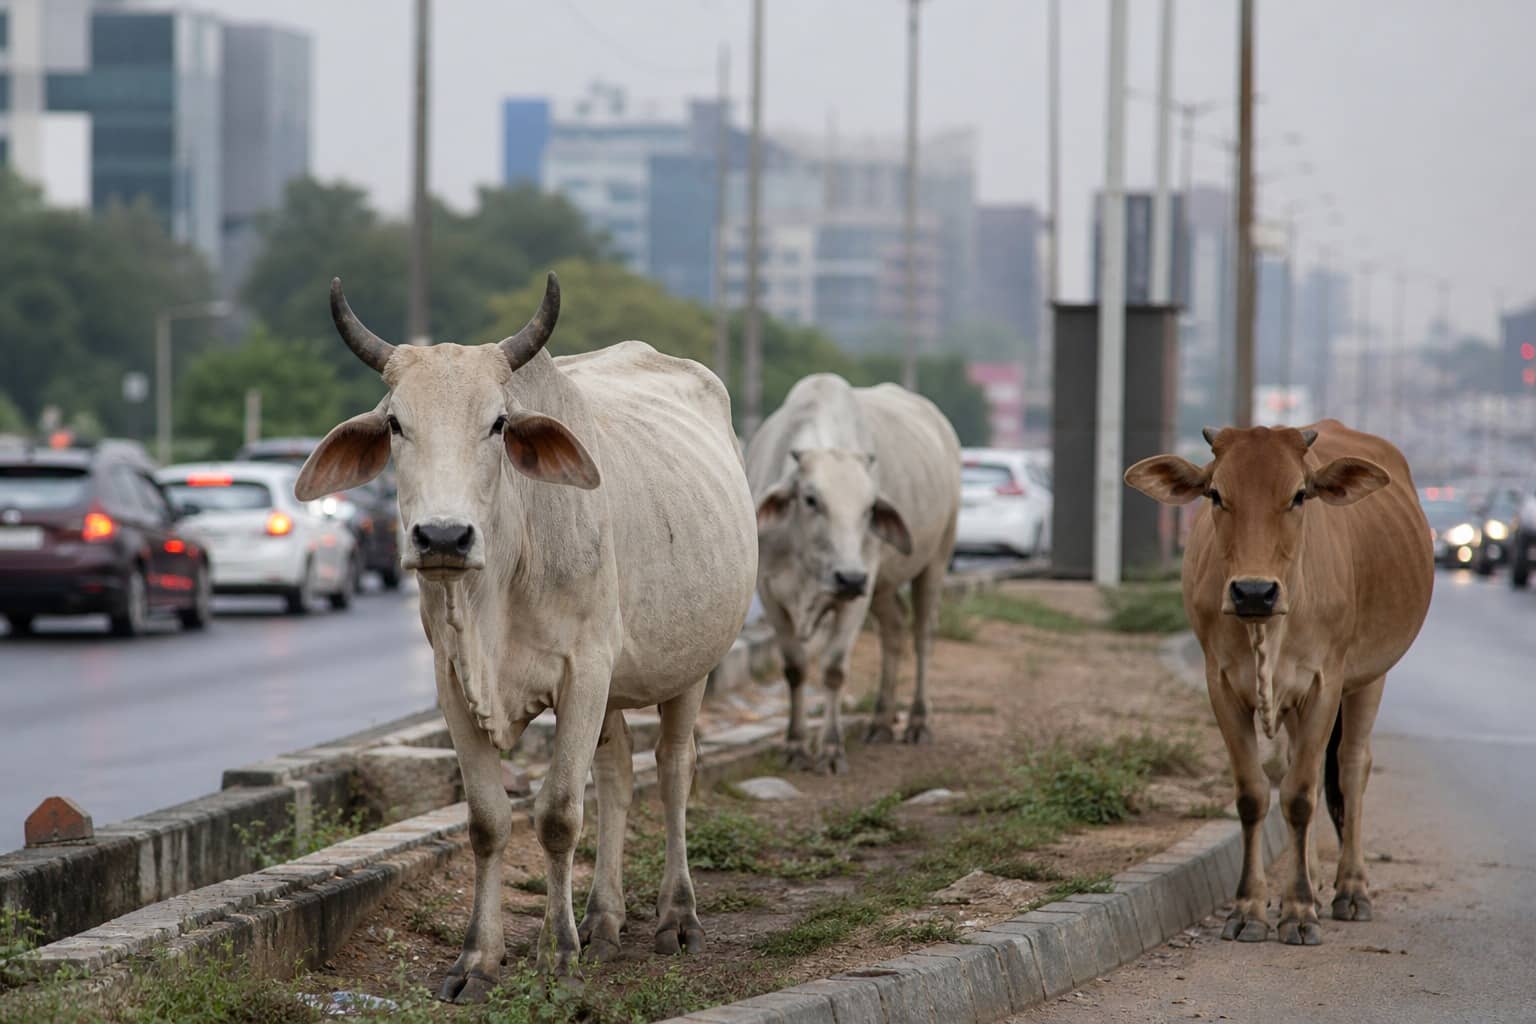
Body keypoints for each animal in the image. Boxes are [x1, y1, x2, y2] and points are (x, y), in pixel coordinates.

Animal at [294, 273, 757, 1001]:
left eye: (499, 423)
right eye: (396, 423)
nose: (443, 537)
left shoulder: (584, 670)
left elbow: (559, 813)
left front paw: (556, 953)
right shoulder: (454, 681)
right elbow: (489, 821)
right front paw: (478, 961)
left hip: (689, 667)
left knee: (675, 771)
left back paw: (675, 919)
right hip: (613, 691)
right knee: (618, 775)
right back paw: (603, 920)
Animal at [746, 374, 961, 773]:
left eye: (869, 508)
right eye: (811, 499)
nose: (850, 578)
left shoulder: (858, 592)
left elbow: (833, 668)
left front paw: (831, 748)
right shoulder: (769, 593)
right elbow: (795, 668)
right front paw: (795, 746)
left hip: (934, 559)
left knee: (923, 635)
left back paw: (918, 722)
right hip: (882, 587)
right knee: (894, 629)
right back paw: (880, 721)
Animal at [1124, 421, 1432, 945]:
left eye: (1299, 495)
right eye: (1215, 493)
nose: (1253, 592)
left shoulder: (1325, 683)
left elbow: (1302, 796)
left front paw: (1300, 910)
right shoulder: (1221, 685)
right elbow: (1254, 795)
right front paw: (1250, 907)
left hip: (1370, 676)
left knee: (1351, 768)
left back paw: (1351, 890)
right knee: (1296, 770)